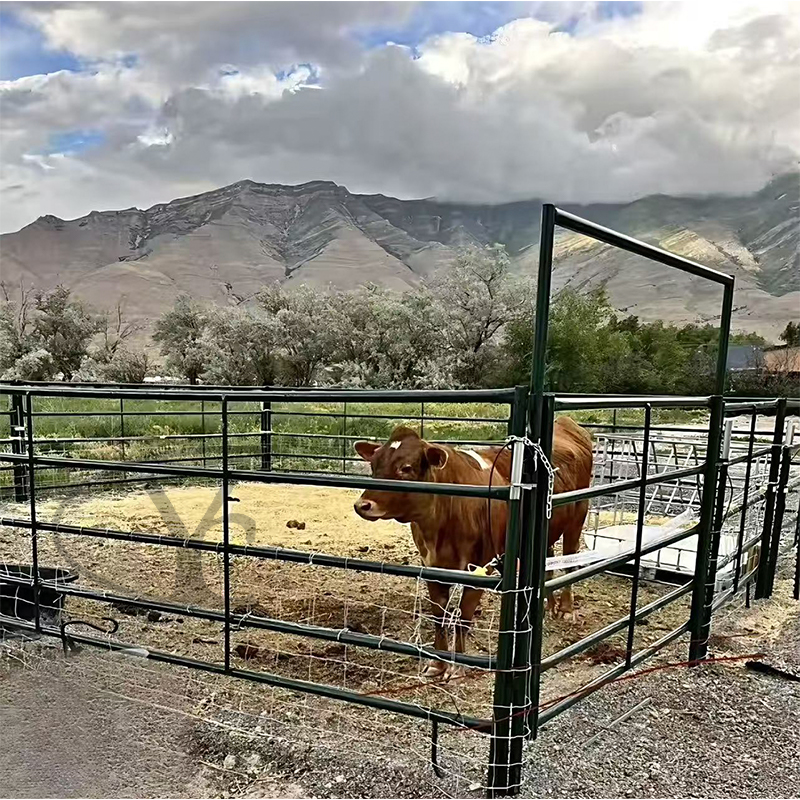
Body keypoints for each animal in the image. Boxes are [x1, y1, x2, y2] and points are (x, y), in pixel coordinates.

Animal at [353, 417, 593, 677]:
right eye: (374, 465)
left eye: (405, 468)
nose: (362, 505)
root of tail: (566, 423)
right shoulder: (431, 566)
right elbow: (439, 616)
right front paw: (437, 663)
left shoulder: (480, 568)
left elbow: (463, 617)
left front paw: (458, 665)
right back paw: (549, 606)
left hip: (578, 516)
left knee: (570, 561)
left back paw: (566, 609)